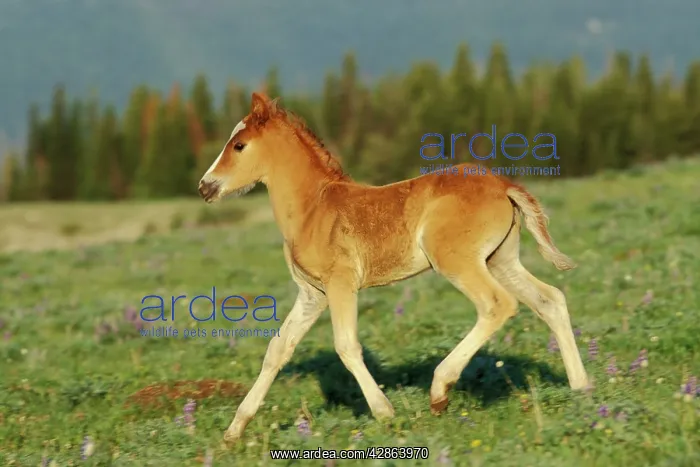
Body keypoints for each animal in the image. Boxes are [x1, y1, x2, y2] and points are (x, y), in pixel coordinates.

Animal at [198, 92, 589, 444]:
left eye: (238, 145)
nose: (205, 187)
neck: (313, 209)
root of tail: (503, 184)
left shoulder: (341, 284)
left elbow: (346, 346)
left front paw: (385, 412)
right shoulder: (313, 293)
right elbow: (277, 351)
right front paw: (234, 430)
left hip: (457, 261)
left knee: (498, 304)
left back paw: (440, 390)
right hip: (501, 259)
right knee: (550, 300)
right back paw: (581, 387)